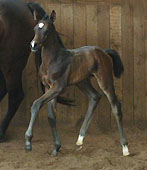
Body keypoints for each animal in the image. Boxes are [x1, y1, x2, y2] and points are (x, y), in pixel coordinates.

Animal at [25, 10, 130, 157]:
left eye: (46, 30)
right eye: (35, 29)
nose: (33, 45)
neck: (52, 60)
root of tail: (103, 52)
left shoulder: (58, 87)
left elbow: (36, 104)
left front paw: (28, 142)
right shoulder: (48, 87)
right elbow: (51, 116)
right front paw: (56, 147)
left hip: (105, 80)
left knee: (115, 106)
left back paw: (125, 147)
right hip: (82, 81)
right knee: (94, 97)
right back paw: (80, 139)